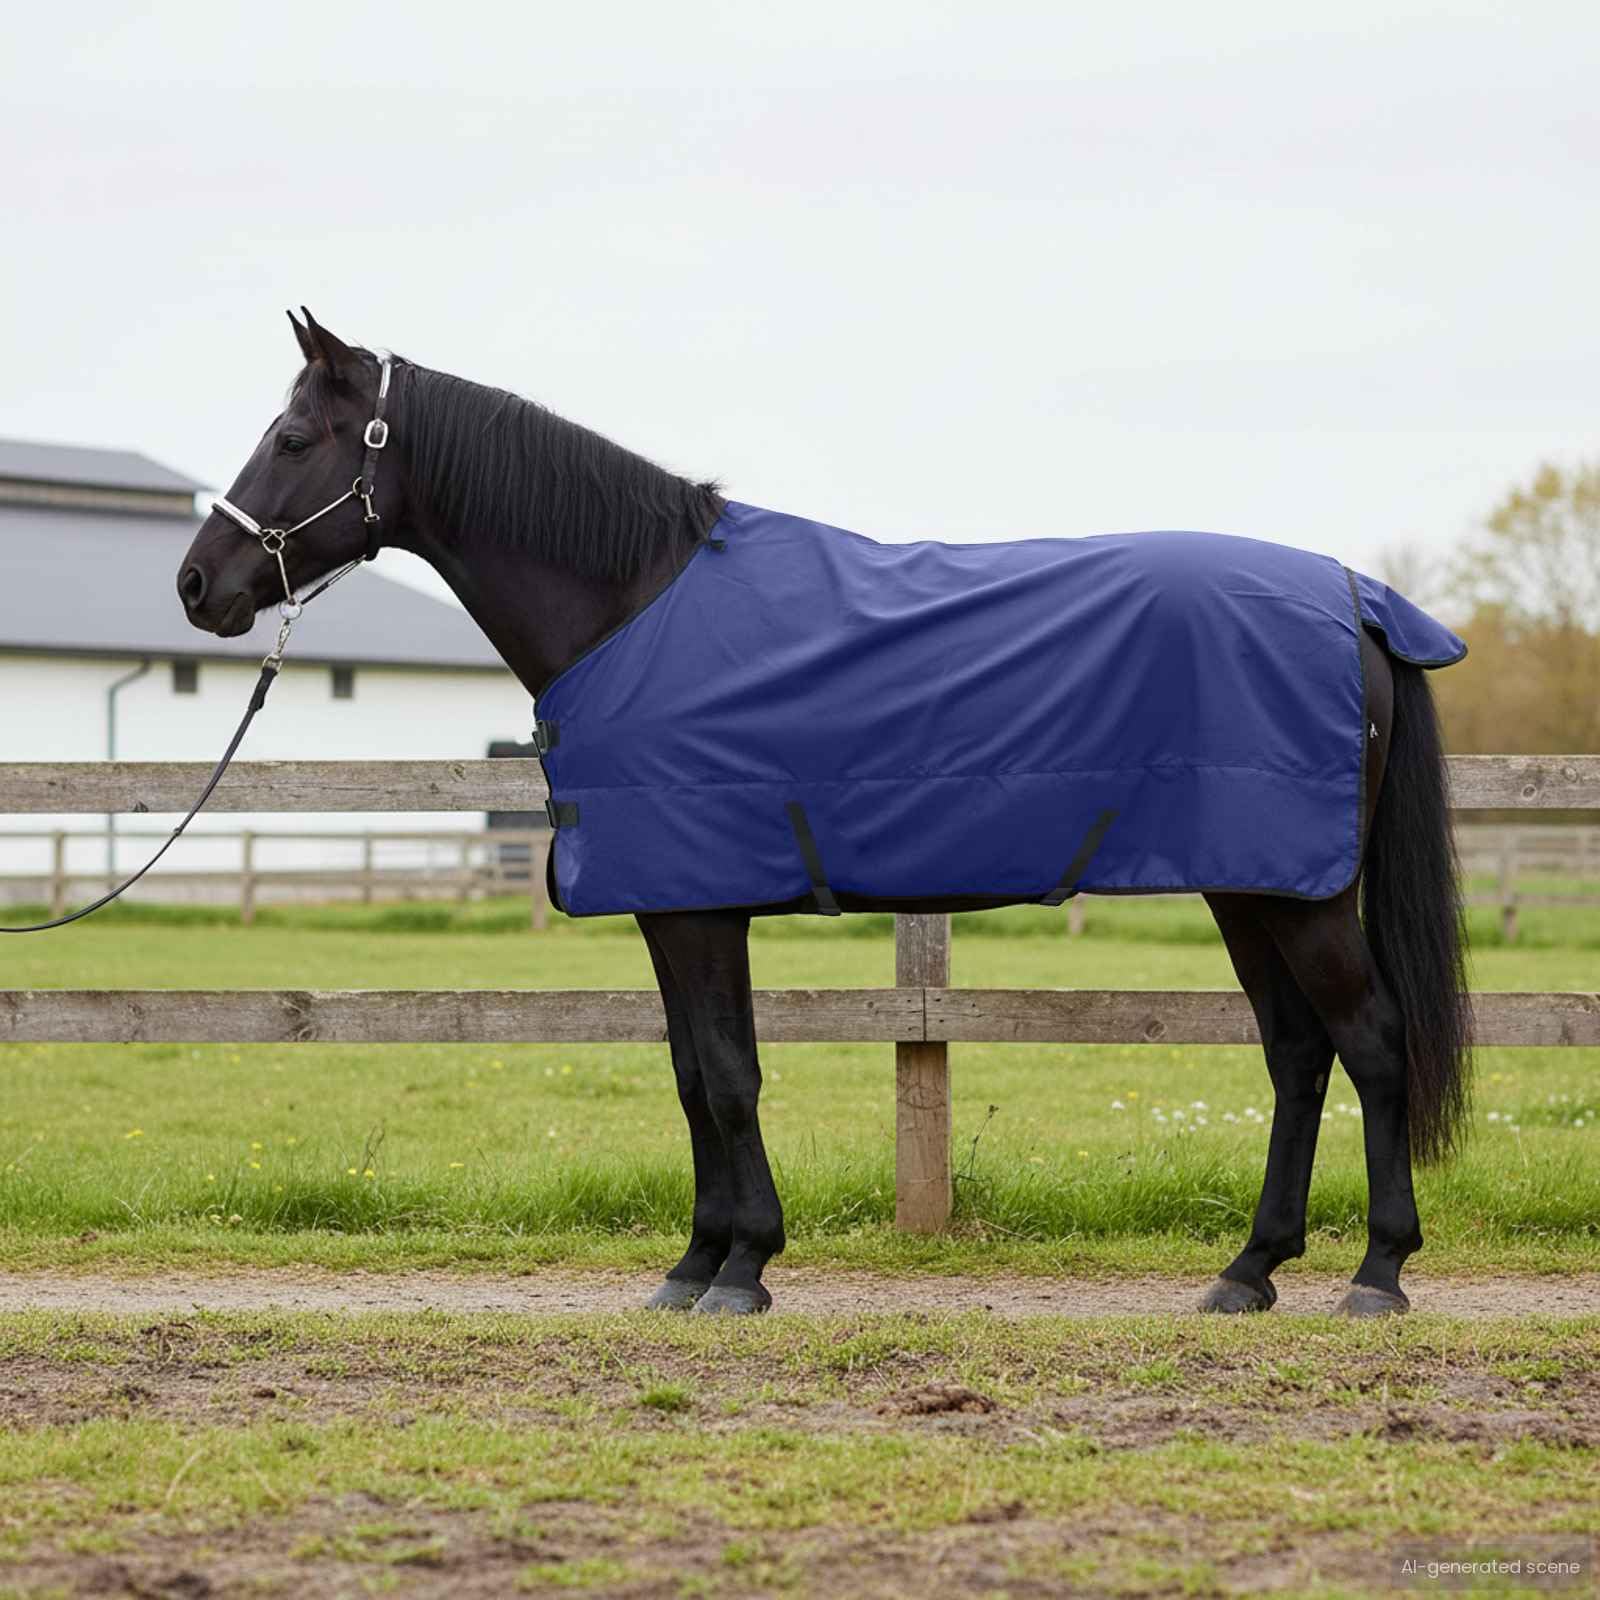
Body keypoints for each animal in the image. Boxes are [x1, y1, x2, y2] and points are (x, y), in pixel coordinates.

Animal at [177, 309, 1471, 1318]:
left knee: (1370, 1042)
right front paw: (698, 1261)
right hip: (1251, 885)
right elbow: (695, 1073)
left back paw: (1376, 1272)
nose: (198, 585)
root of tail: (1355, 600)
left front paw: (740, 1267)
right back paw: (1248, 1270)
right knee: (1297, 1053)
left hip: (1297, 895)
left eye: (292, 438)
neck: (631, 603)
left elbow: (726, 1076)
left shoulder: (698, 907)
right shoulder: (679, 905)